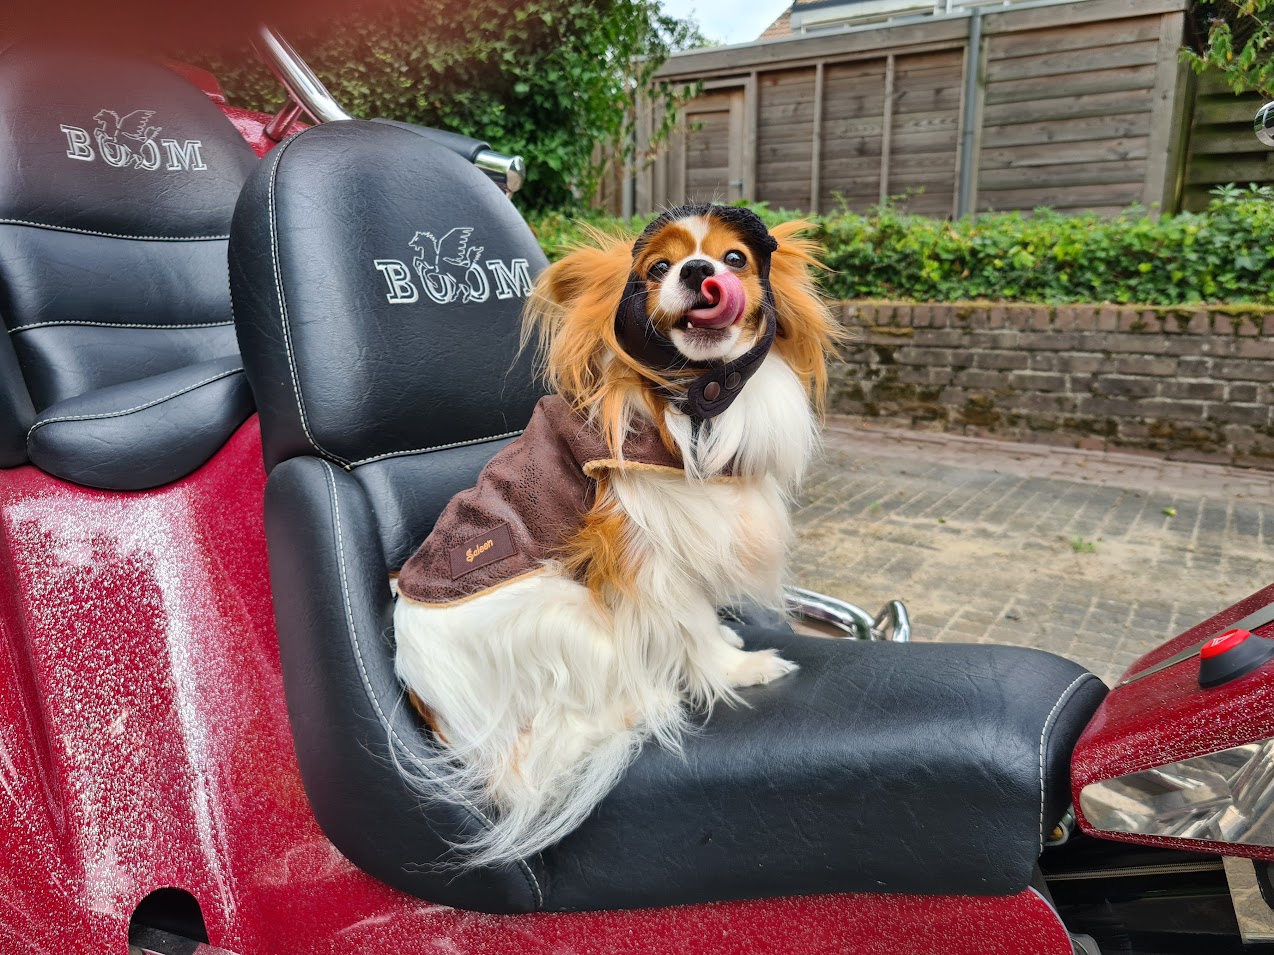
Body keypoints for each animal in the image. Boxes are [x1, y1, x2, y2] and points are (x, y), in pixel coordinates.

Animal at [392, 204, 839, 866]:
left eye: (736, 259)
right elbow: (690, 626)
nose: (699, 271)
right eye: (656, 268)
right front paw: (738, 669)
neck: (692, 408)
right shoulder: (645, 559)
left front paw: (728, 645)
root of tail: (440, 713)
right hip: (570, 614)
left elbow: (699, 618)